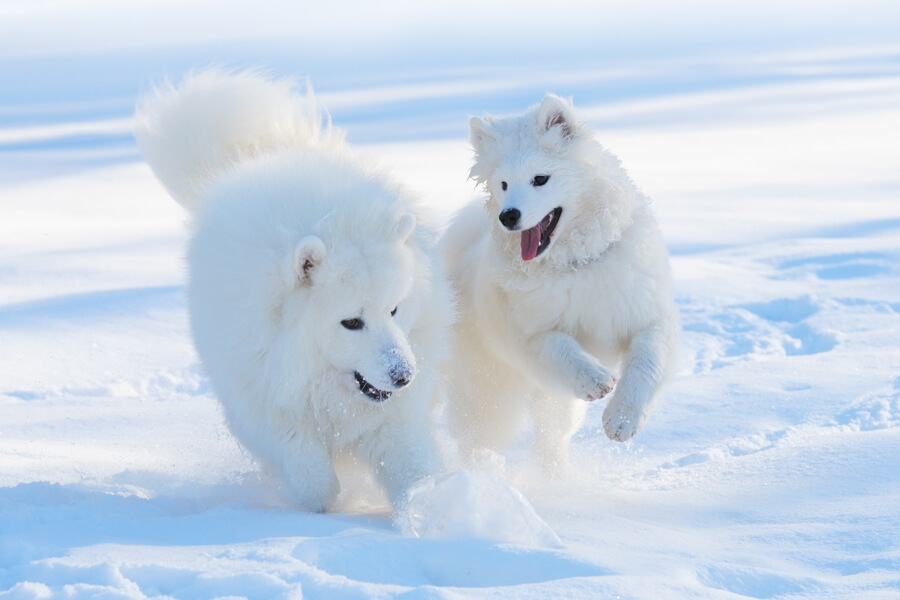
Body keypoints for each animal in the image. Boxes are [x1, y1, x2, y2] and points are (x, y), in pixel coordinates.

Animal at [135, 70, 450, 510]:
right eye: (351, 322)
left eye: (394, 310)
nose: (404, 375)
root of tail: (261, 155)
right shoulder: (266, 403)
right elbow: (311, 473)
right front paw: (319, 511)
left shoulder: (397, 419)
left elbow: (417, 473)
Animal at [440, 92, 680, 468]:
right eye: (503, 184)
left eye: (540, 178)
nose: (508, 216)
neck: (578, 262)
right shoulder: (531, 334)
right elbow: (563, 351)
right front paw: (597, 378)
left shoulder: (649, 316)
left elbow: (647, 362)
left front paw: (622, 419)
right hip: (490, 389)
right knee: (480, 433)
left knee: (551, 437)